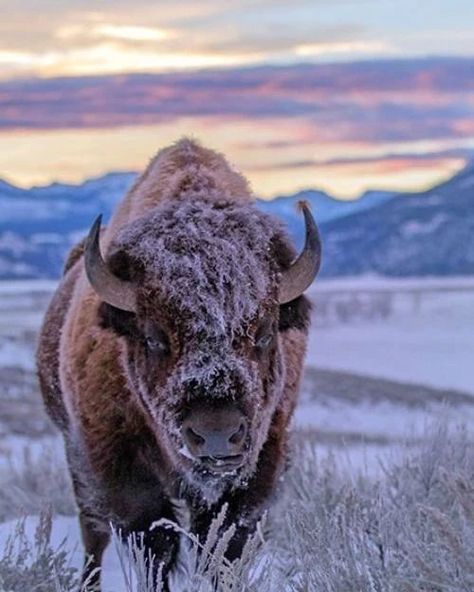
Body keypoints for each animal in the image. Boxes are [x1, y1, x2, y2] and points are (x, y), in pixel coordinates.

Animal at [35, 139, 320, 588]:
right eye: (154, 338)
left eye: (262, 333)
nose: (217, 436)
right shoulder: (117, 466)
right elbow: (155, 544)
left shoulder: (261, 461)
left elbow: (224, 548)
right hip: (73, 451)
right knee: (93, 531)